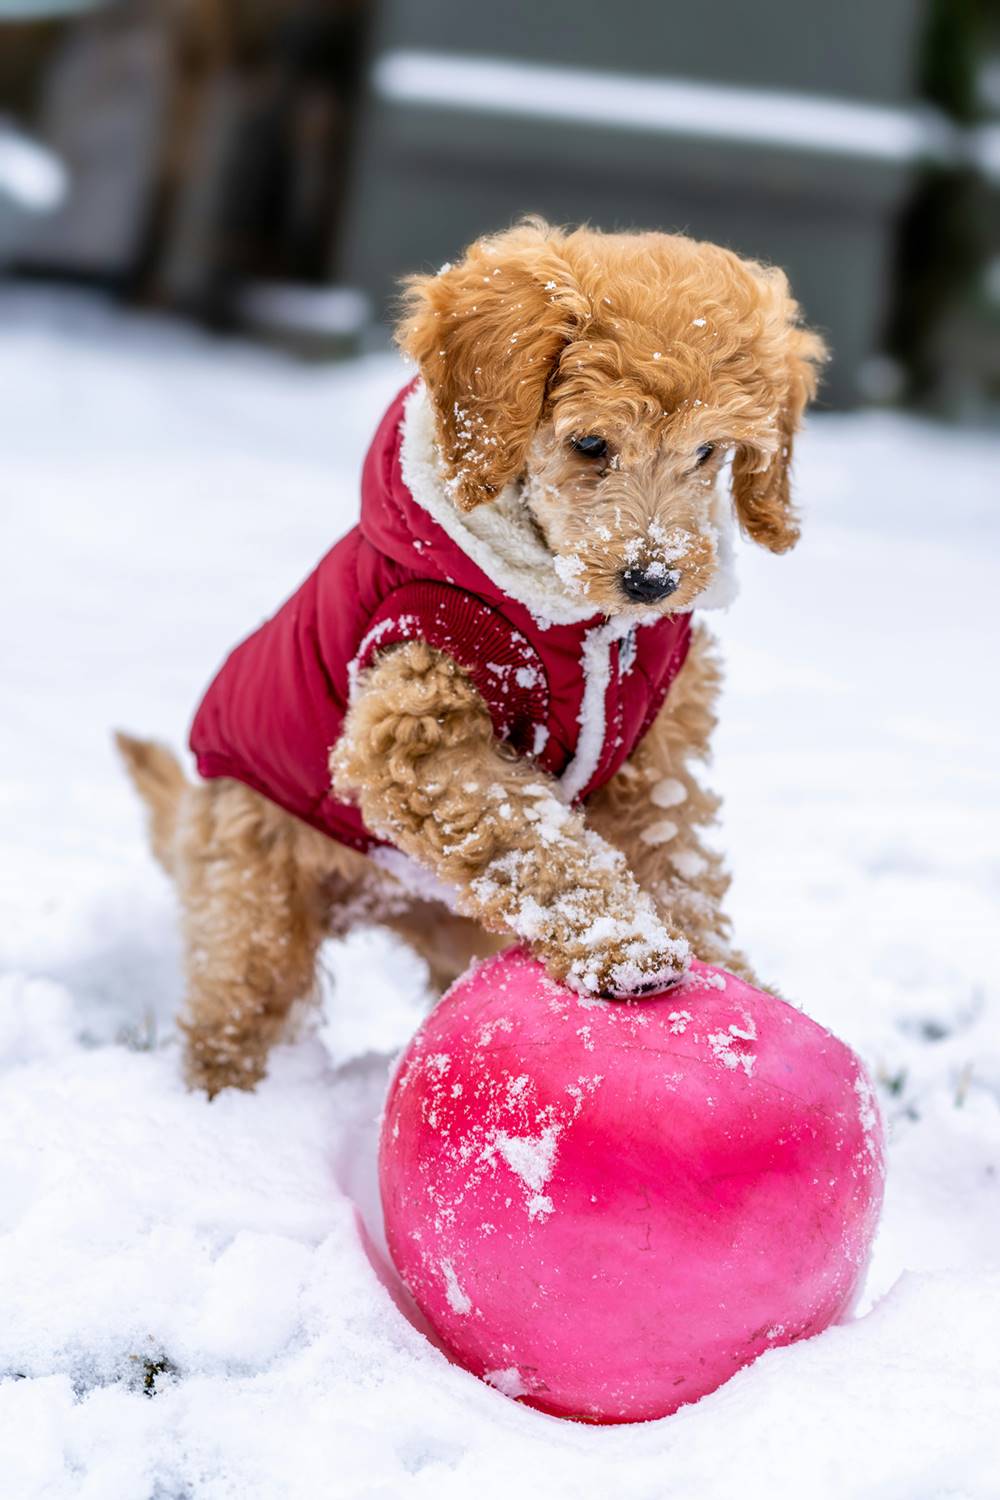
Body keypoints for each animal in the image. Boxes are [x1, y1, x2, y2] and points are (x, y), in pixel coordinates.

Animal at [119, 217, 821, 1098]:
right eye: (591, 444)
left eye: (709, 454)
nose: (653, 580)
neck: (585, 627)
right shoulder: (419, 722)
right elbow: (534, 836)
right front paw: (626, 949)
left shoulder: (656, 753)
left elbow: (678, 858)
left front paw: (733, 976)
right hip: (253, 892)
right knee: (237, 997)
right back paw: (221, 1098)